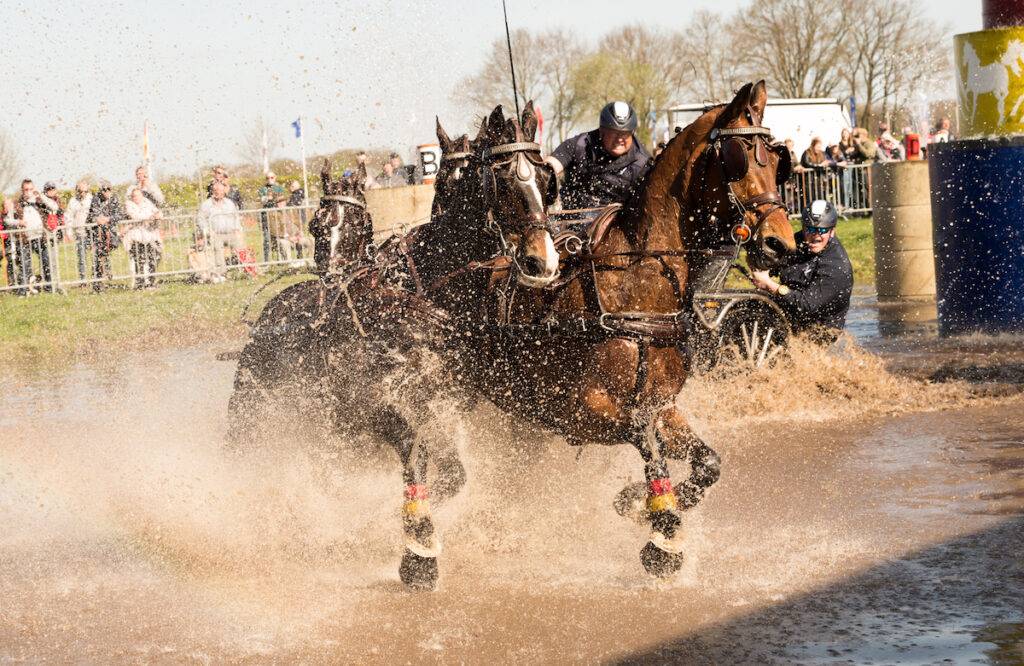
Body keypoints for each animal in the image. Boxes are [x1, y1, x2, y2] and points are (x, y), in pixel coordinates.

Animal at [229, 81, 795, 588]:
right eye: (741, 157)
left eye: (775, 160)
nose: (780, 242)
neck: (631, 281)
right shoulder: (574, 410)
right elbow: (645, 439)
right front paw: (662, 536)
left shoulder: (658, 401)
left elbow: (705, 461)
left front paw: (638, 505)